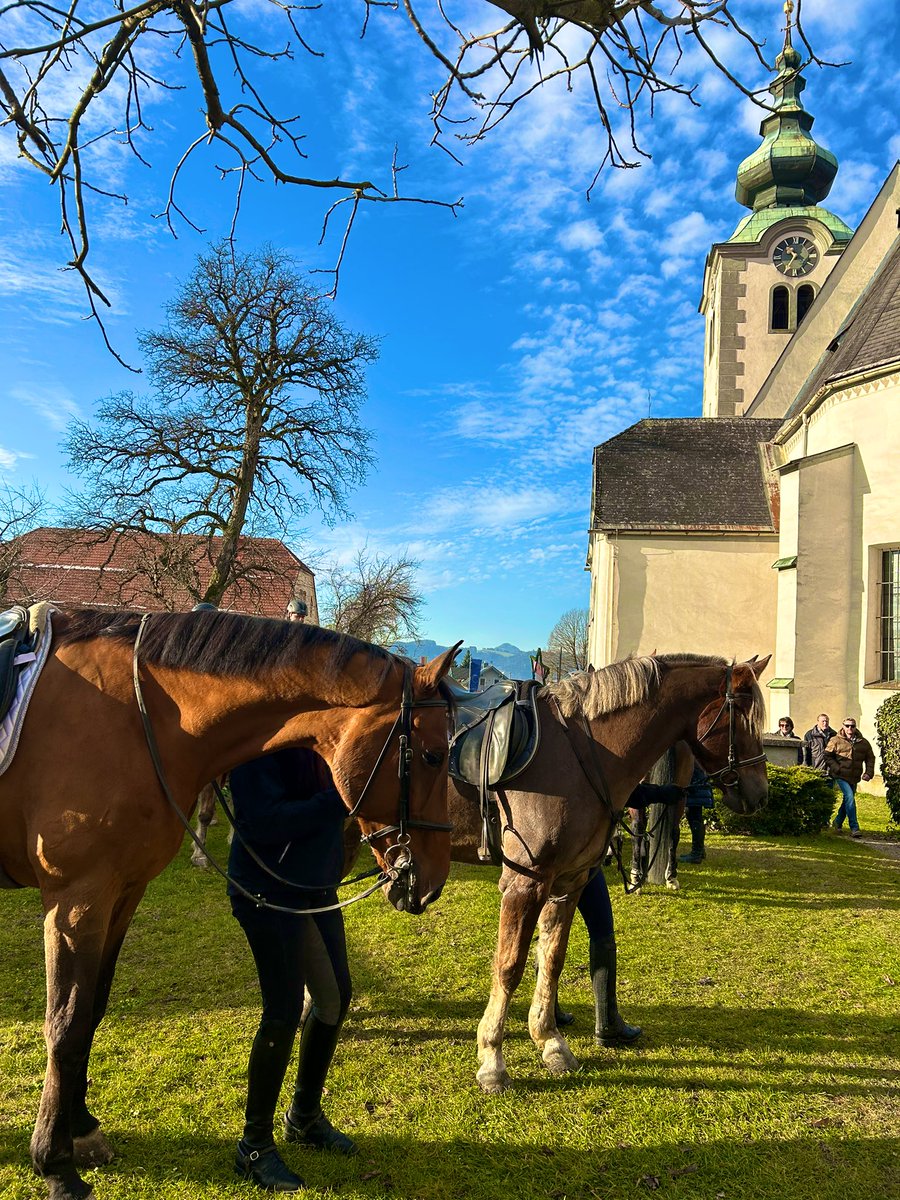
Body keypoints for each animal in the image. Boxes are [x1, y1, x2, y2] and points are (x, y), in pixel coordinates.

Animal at [0, 606, 460, 1200]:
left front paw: (81, 1131)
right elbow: (66, 1023)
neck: (138, 718)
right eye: (432, 754)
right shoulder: (77, 899)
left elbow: (93, 1011)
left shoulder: (121, 891)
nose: (431, 880)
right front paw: (56, 1166)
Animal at [345, 653, 768, 1092]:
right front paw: (492, 1058)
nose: (760, 795)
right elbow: (509, 966)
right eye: (744, 719)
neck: (582, 751)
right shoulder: (525, 883)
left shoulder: (569, 882)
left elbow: (552, 958)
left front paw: (550, 1041)